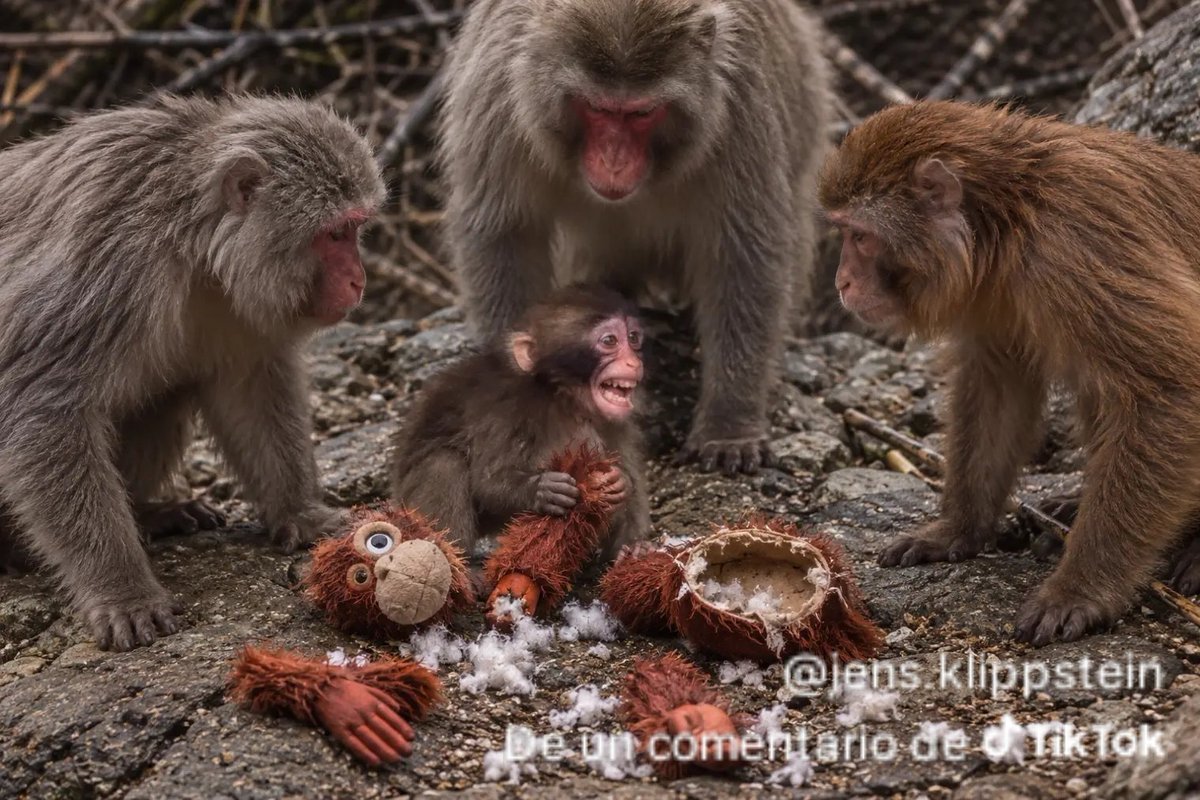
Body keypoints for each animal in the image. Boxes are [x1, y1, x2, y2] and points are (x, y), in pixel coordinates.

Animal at [0, 95, 386, 651]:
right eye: (335, 233)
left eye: (354, 229)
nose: (359, 280)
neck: (189, 240)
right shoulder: (110, 267)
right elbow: (42, 406)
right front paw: (123, 590)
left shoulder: (233, 302)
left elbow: (250, 387)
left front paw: (300, 511)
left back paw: (151, 514)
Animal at [389, 285, 650, 562]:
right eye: (609, 341)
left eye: (633, 338)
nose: (634, 362)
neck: (559, 396)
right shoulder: (506, 409)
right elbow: (488, 484)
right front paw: (539, 490)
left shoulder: (615, 423)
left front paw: (624, 503)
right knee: (444, 462)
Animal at [437, 0, 831, 475]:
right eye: (596, 109)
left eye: (641, 114)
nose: (614, 160)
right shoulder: (499, 94)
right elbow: (503, 234)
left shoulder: (739, 105)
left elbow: (744, 254)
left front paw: (729, 425)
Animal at [818, 100, 1200, 645]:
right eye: (847, 234)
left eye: (861, 237)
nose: (842, 281)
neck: (1011, 216)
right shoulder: (992, 288)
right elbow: (997, 385)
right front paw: (957, 530)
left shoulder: (1077, 244)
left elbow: (1170, 389)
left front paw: (1081, 590)